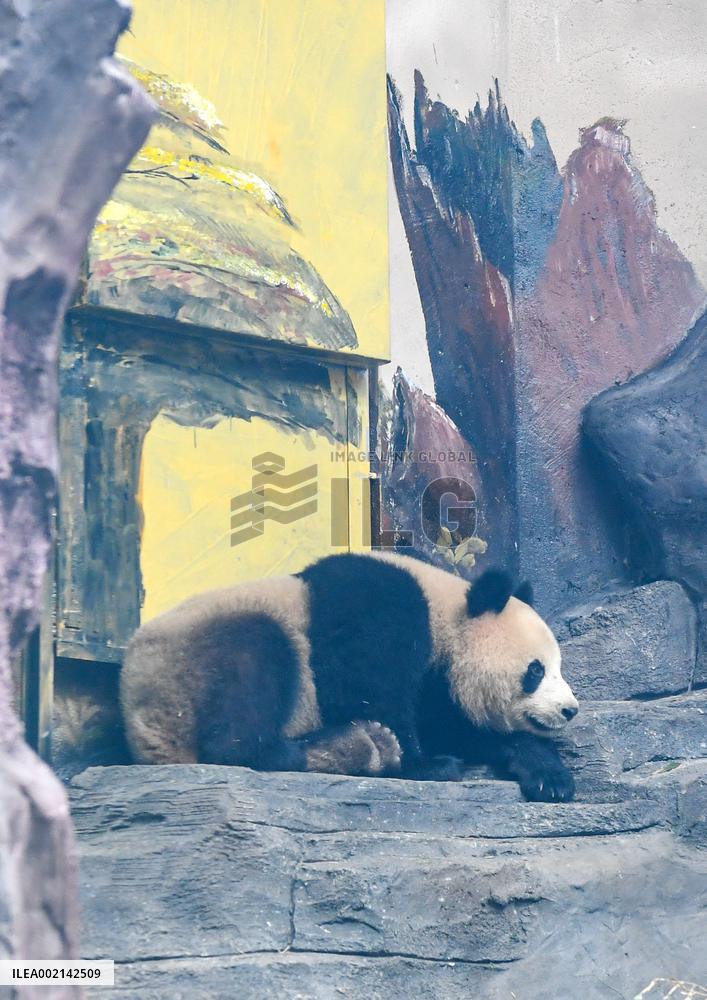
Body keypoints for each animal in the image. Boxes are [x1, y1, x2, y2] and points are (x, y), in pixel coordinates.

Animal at [120, 552, 579, 802]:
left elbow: (454, 726)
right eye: (536, 671)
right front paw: (425, 763)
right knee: (253, 664)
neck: (446, 615)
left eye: (559, 667)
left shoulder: (437, 687)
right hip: (191, 662)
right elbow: (365, 685)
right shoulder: (382, 610)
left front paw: (548, 775)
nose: (570, 710)